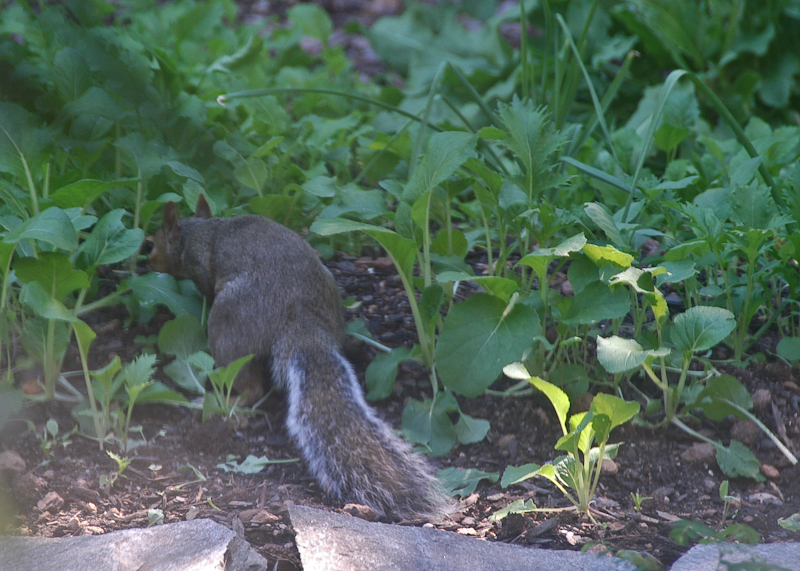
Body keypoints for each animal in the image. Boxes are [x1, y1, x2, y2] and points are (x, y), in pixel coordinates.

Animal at [145, 195, 449, 520]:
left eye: (149, 244)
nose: (144, 263)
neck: (200, 231)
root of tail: (301, 312)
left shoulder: (201, 268)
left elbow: (204, 285)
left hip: (229, 325)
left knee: (251, 387)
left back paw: (222, 402)